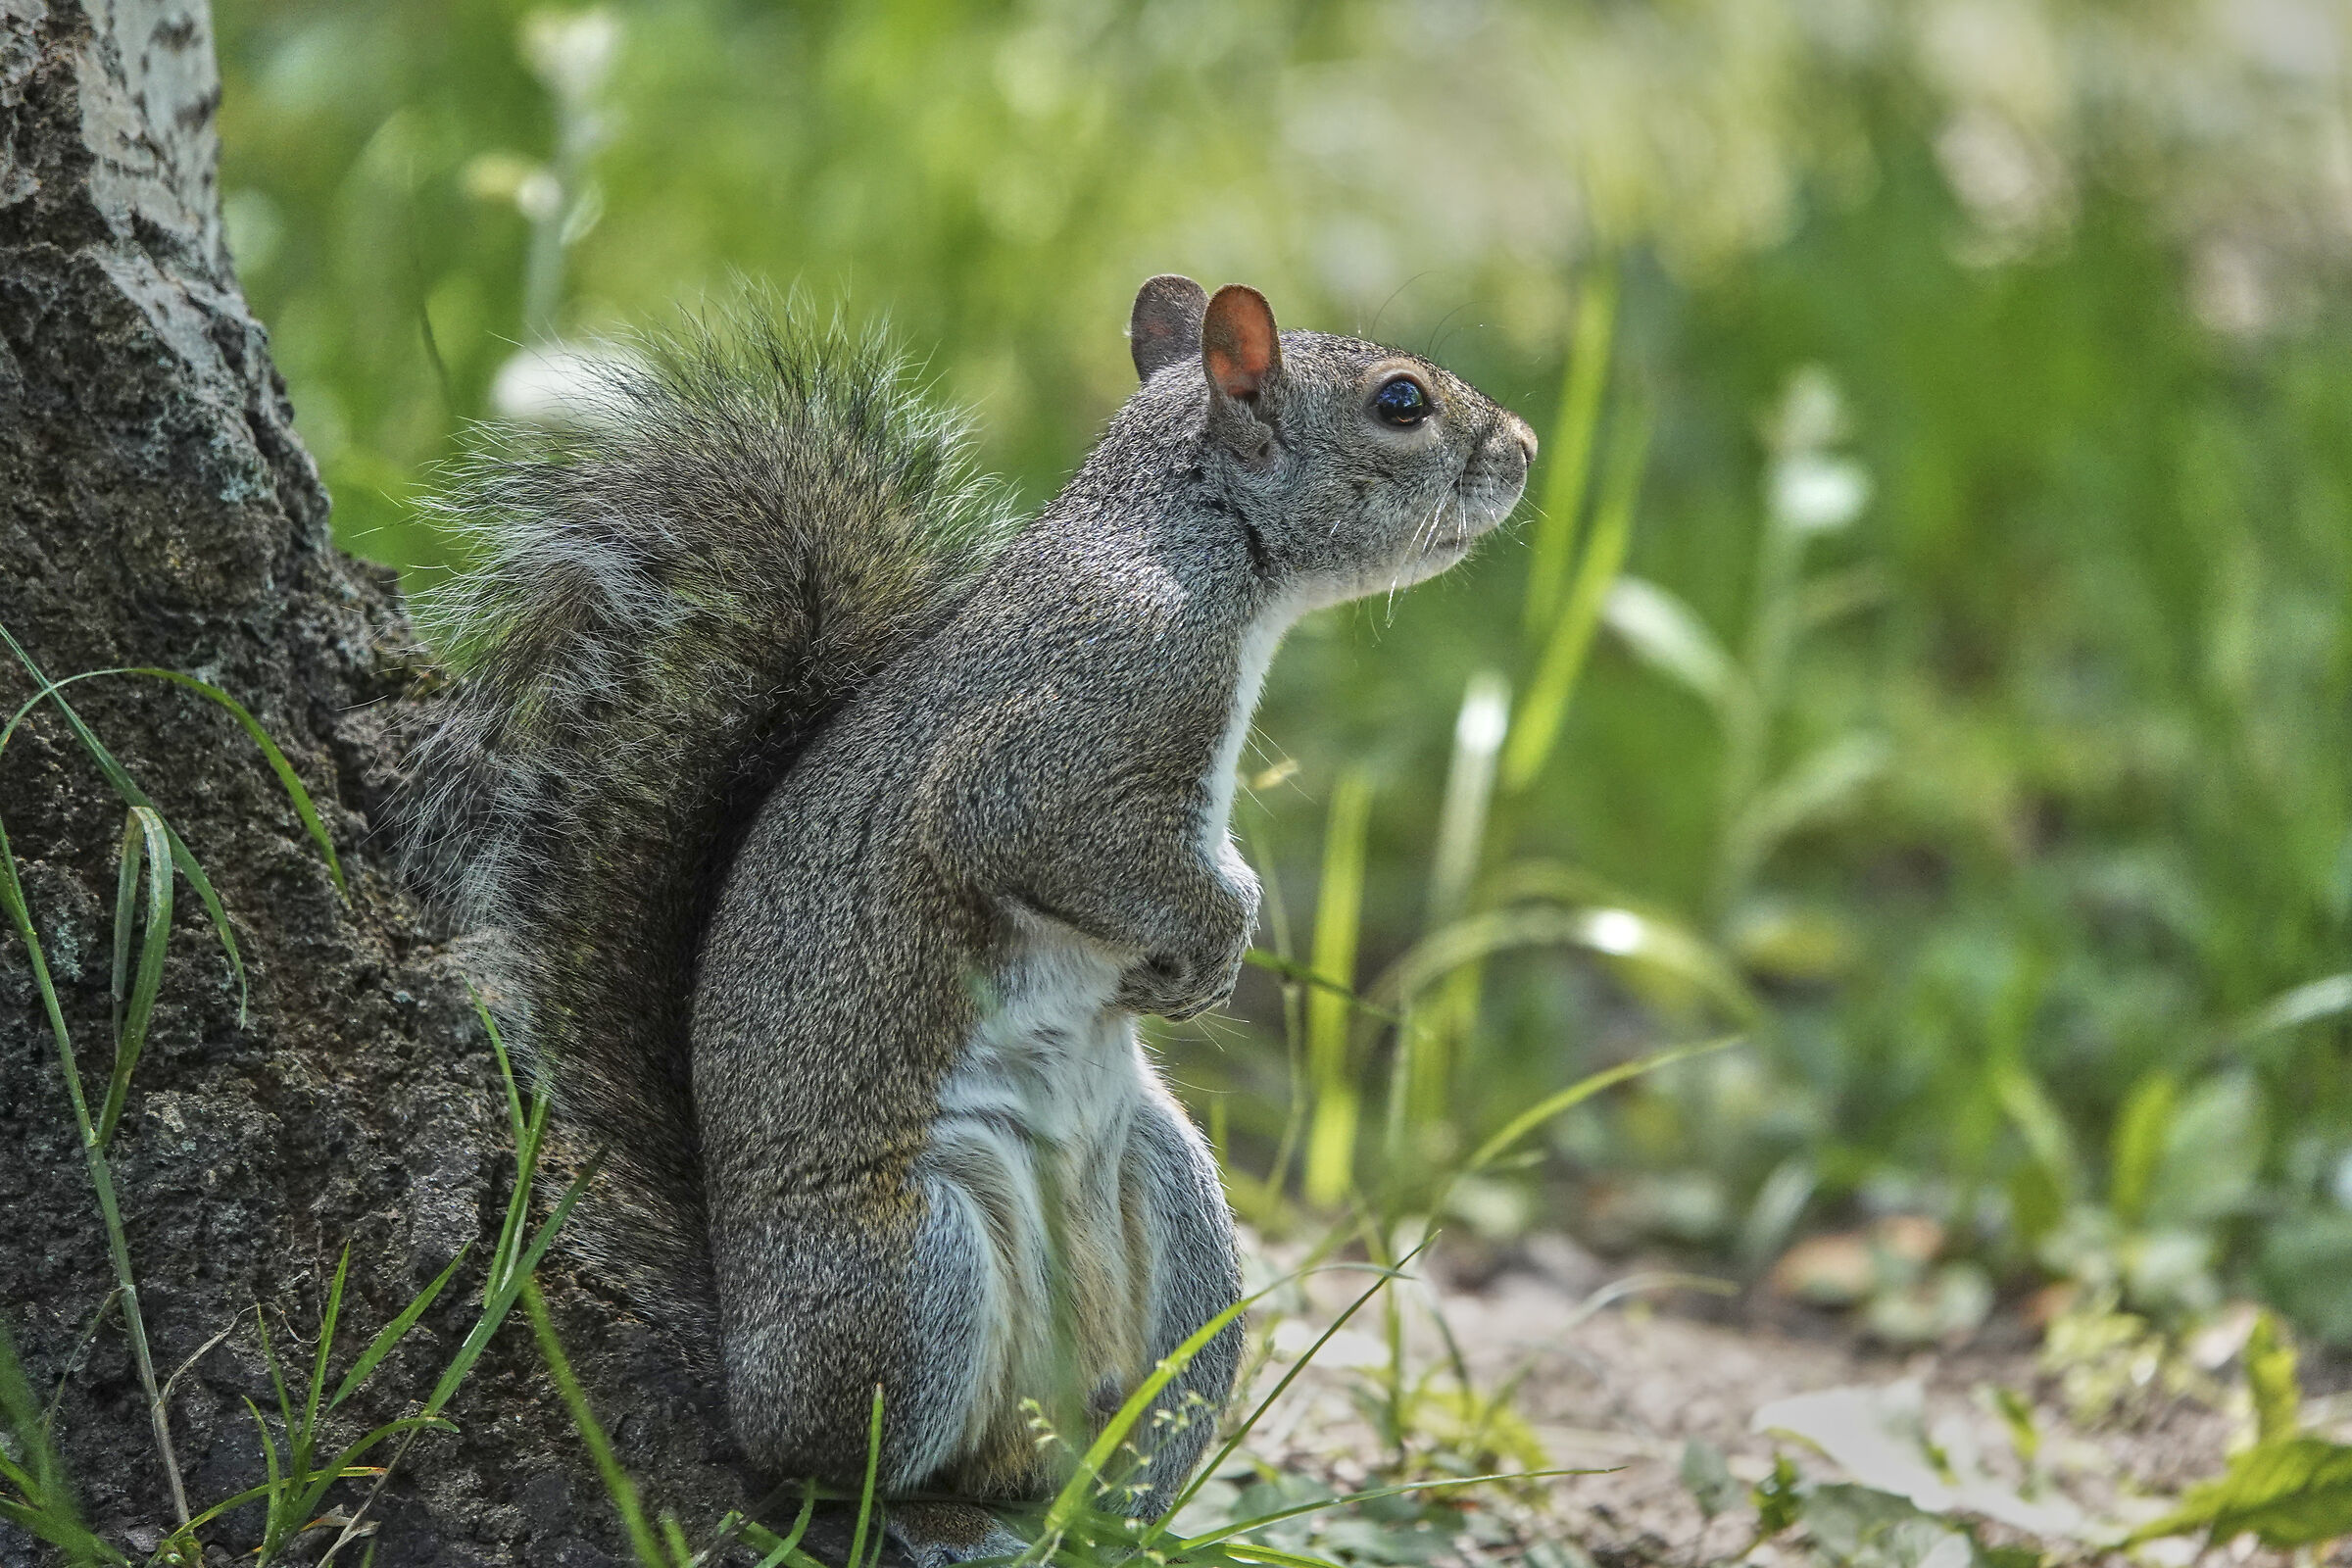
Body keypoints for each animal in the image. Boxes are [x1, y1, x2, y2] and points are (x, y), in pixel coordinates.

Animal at [405, 277, 1534, 1565]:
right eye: (1400, 404)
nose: (1523, 449)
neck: (1195, 542)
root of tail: (742, 1348)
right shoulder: (1073, 734)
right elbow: (1061, 839)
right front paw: (1215, 939)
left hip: (1181, 1223)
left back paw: (1110, 1519)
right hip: (912, 1270)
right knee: (822, 1472)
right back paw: (928, 1511)